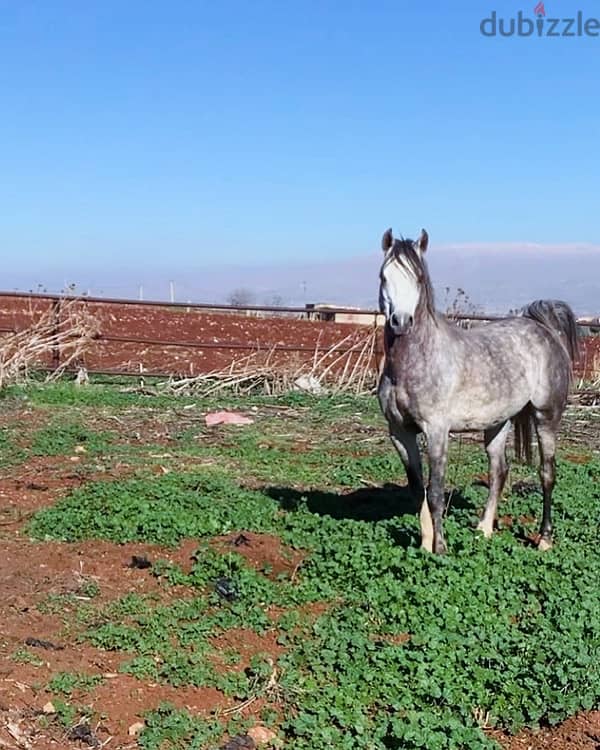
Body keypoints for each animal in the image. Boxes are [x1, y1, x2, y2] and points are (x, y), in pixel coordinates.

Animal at [378, 231, 580, 560]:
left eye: (418, 277)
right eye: (384, 276)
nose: (401, 321)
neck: (412, 364)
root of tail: (544, 330)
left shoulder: (437, 432)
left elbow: (436, 492)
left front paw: (441, 548)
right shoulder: (399, 432)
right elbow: (417, 489)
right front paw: (424, 544)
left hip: (546, 417)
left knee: (547, 473)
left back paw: (545, 539)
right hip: (498, 422)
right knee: (499, 471)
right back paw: (483, 530)